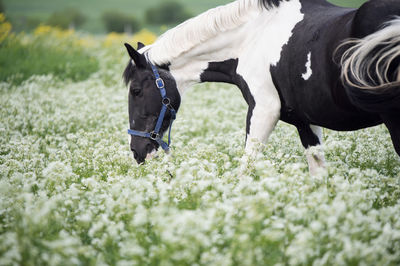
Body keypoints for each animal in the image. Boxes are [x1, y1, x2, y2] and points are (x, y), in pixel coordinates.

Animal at [124, 0, 400, 175]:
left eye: (136, 91)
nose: (137, 152)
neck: (253, 37)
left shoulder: (264, 110)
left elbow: (245, 168)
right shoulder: (305, 122)